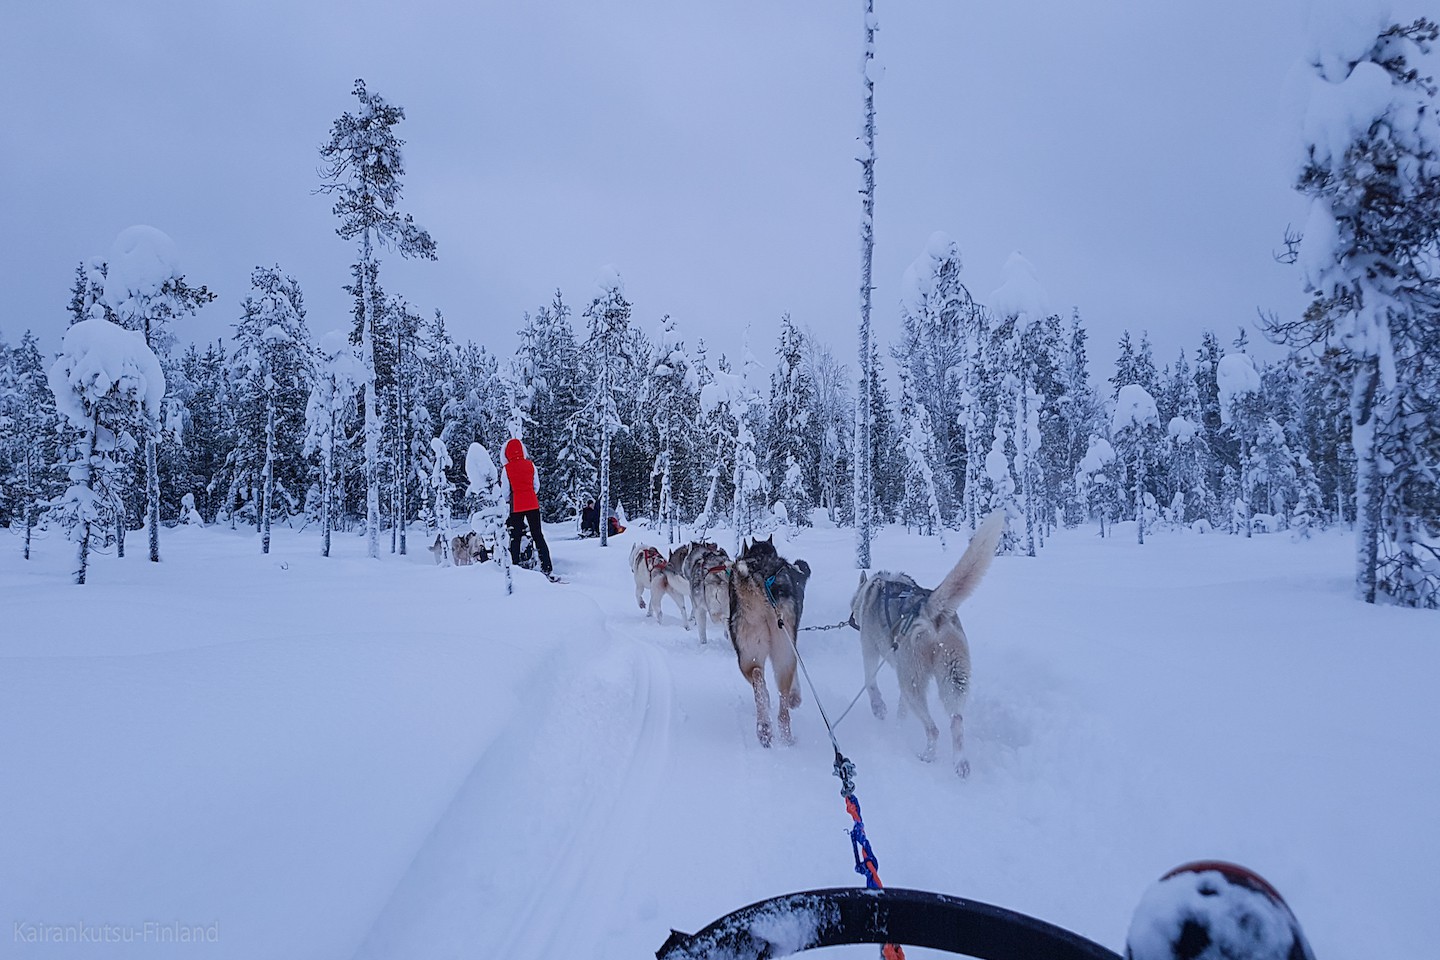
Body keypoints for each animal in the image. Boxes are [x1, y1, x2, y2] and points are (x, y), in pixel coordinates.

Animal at [731, 538, 812, 748]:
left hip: (750, 655)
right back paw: (778, 732)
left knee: (759, 679)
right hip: (776, 649)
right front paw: (795, 698)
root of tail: (761, 578)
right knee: (776, 692)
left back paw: (766, 728)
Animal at [846, 515, 1008, 777]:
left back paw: (928, 755)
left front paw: (880, 709)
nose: (851, 619)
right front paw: (899, 726)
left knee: (934, 729)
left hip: (912, 680)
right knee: (956, 721)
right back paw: (960, 763)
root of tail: (931, 610)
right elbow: (901, 709)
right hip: (953, 677)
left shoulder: (869, 649)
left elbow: (870, 683)